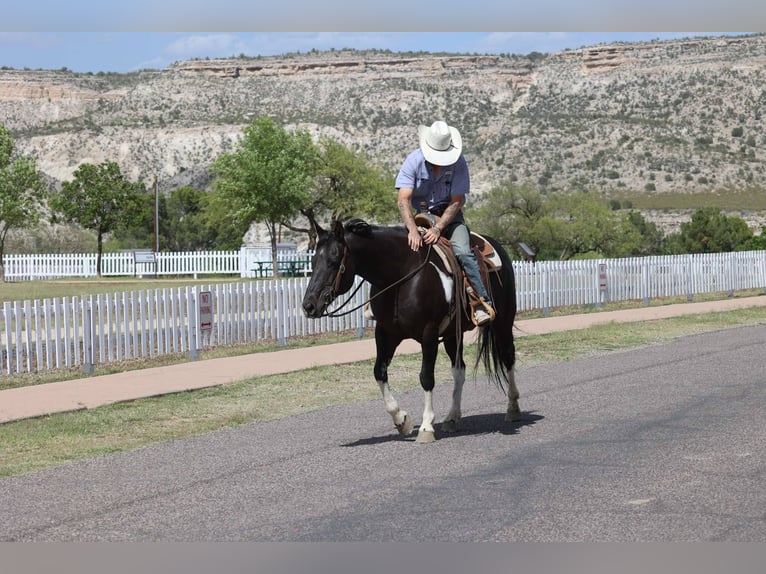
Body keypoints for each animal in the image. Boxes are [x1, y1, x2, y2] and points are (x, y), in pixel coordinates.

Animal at [301, 218, 521, 443]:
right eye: (313, 262)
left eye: (334, 261)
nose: (308, 305)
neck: (401, 275)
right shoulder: (386, 333)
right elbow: (379, 372)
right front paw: (401, 420)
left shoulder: (429, 334)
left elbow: (426, 377)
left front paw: (426, 427)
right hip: (453, 334)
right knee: (459, 370)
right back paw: (452, 418)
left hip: (503, 321)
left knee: (508, 358)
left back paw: (512, 408)